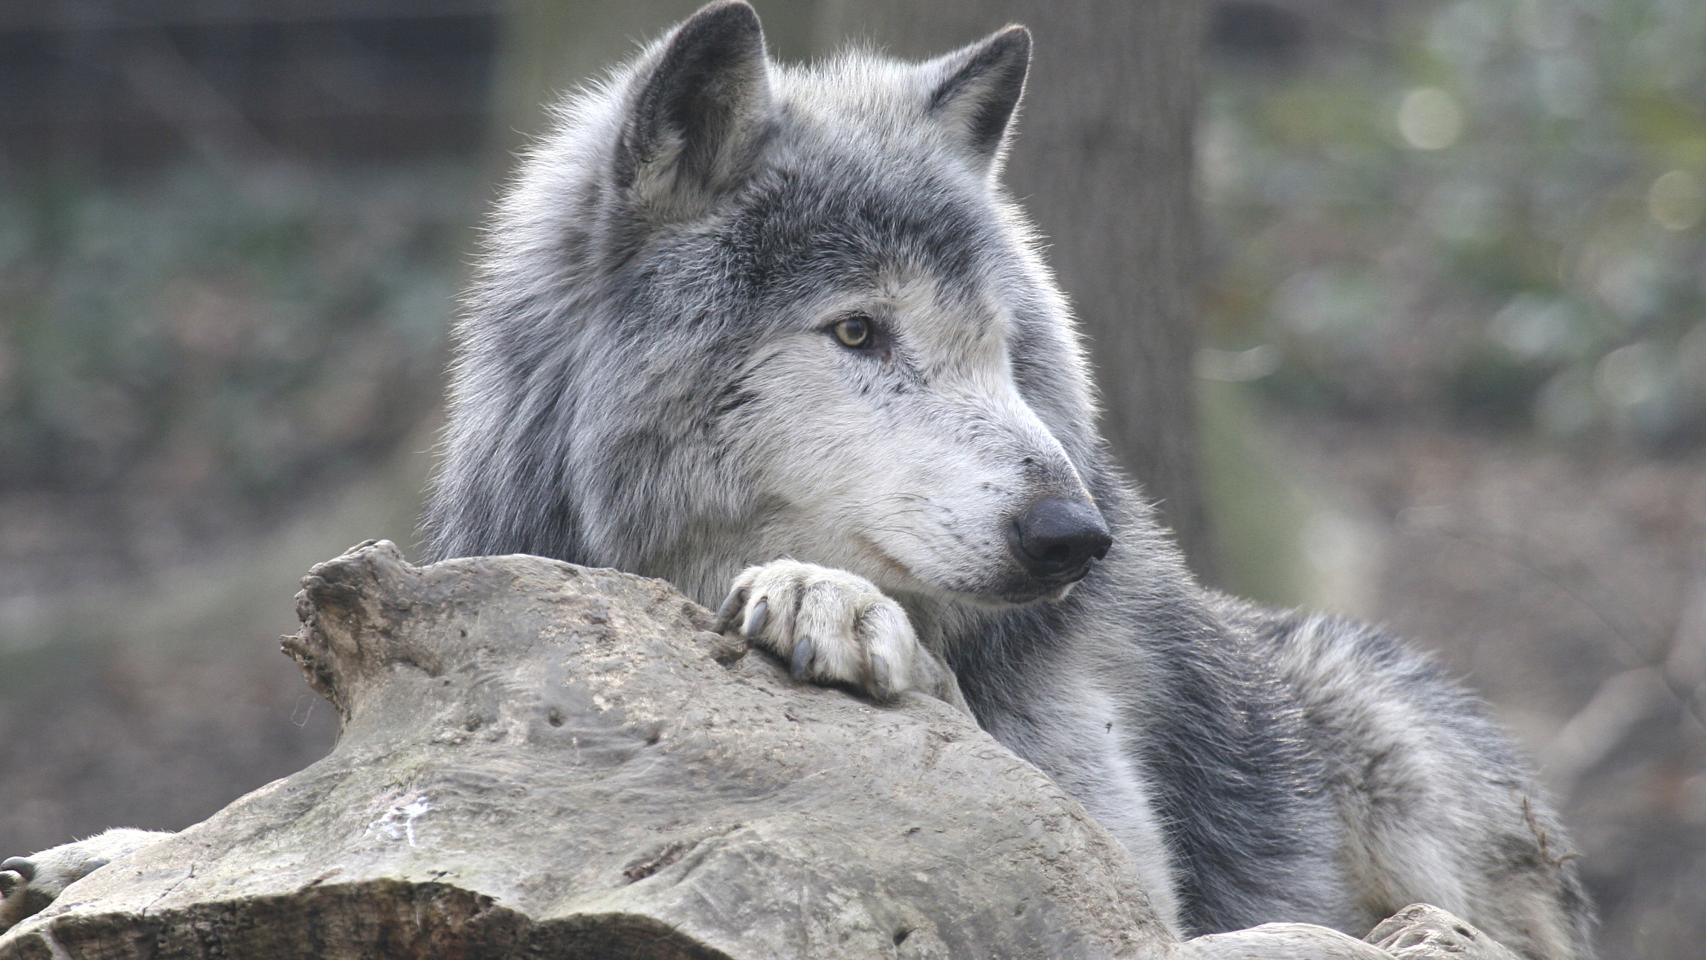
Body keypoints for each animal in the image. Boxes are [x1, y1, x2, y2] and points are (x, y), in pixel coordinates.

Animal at [3, 5, 1596, 954]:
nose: (1071, 534)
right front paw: (90, 857)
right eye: (857, 333)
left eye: (999, 345)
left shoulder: (1111, 884)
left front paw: (835, 607)